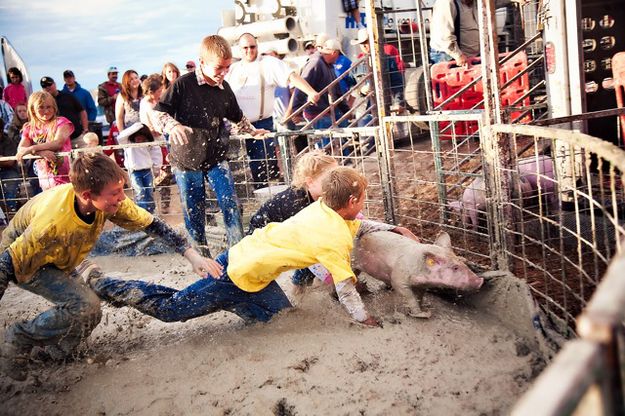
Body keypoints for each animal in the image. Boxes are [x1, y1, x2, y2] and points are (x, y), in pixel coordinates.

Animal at [352, 231, 482, 318]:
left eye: (462, 262)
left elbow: (420, 296)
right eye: (455, 268)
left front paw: (424, 309)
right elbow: (409, 296)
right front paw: (425, 315)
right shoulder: (398, 278)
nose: (480, 280)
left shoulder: (422, 284)